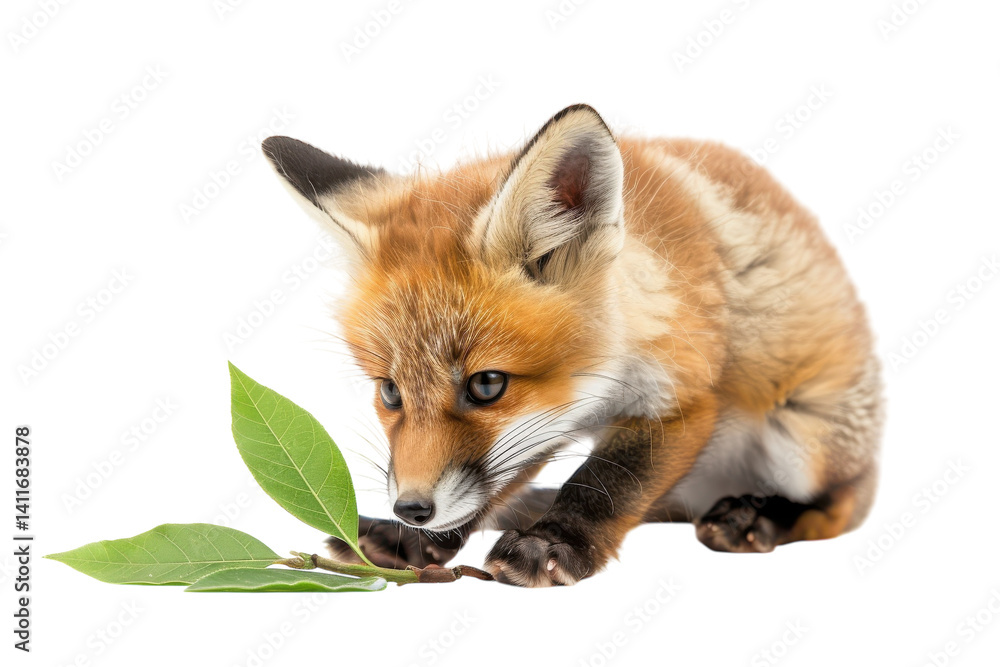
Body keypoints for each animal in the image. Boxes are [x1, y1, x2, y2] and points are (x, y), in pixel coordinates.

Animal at [261, 104, 883, 587]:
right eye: (390, 392)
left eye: (486, 384)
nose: (410, 509)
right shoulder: (547, 418)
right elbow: (498, 480)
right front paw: (419, 540)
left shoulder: (685, 394)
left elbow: (607, 481)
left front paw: (552, 544)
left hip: (804, 439)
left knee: (842, 505)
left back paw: (756, 517)